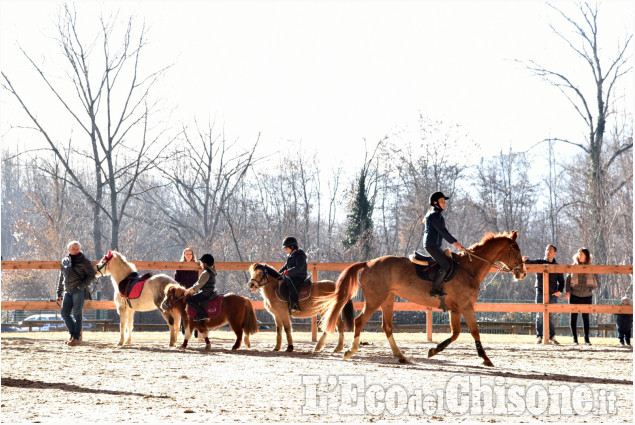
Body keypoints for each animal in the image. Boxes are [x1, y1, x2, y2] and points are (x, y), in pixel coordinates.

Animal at [322, 230, 528, 366]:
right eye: (516, 249)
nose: (523, 273)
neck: (470, 268)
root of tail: (368, 263)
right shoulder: (466, 306)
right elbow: (474, 331)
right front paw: (485, 358)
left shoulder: (456, 309)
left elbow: (455, 333)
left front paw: (433, 350)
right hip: (375, 300)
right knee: (359, 321)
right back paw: (350, 351)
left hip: (387, 300)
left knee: (387, 327)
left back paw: (401, 356)